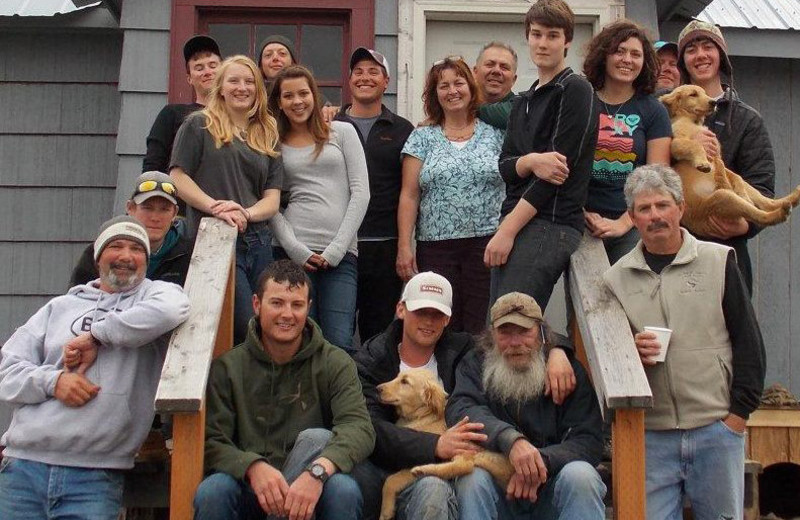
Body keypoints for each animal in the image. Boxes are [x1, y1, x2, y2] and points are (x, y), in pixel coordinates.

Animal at [378, 368, 516, 520]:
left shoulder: (415, 459)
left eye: (405, 382)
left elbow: (391, 480)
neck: (423, 414)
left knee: (464, 466)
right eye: (397, 377)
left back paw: (423, 469)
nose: (377, 389)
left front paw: (385, 511)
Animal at [656, 85, 800, 236]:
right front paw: (703, 163)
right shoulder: (675, 142)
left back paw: (791, 198)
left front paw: (741, 191)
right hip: (723, 199)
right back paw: (782, 212)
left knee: (764, 202)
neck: (692, 120)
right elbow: (695, 144)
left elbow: (734, 174)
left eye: (705, 93)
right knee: (760, 215)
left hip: (738, 192)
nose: (713, 102)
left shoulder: (717, 157)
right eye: (693, 94)